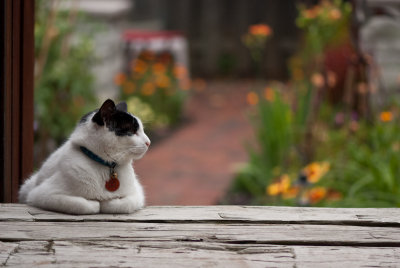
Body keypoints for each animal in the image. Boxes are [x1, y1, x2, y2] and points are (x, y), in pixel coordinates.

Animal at [18, 99, 150, 215]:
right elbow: (85, 205)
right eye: (131, 131)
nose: (149, 142)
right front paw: (96, 203)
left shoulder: (136, 193)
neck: (105, 165)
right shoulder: (43, 194)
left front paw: (107, 202)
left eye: (142, 130)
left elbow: (120, 204)